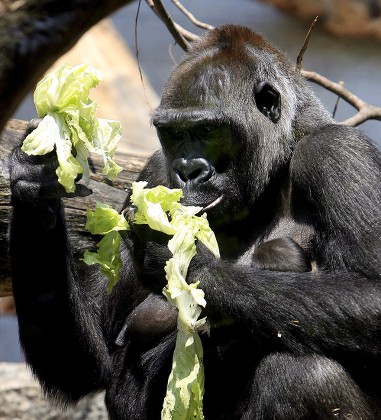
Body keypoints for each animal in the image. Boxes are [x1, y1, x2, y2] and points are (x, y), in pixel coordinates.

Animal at [7, 24, 380, 418]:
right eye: (174, 133)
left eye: (208, 130)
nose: (188, 171)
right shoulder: (153, 170)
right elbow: (86, 366)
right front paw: (35, 183)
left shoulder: (339, 153)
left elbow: (373, 299)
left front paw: (188, 265)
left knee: (306, 374)